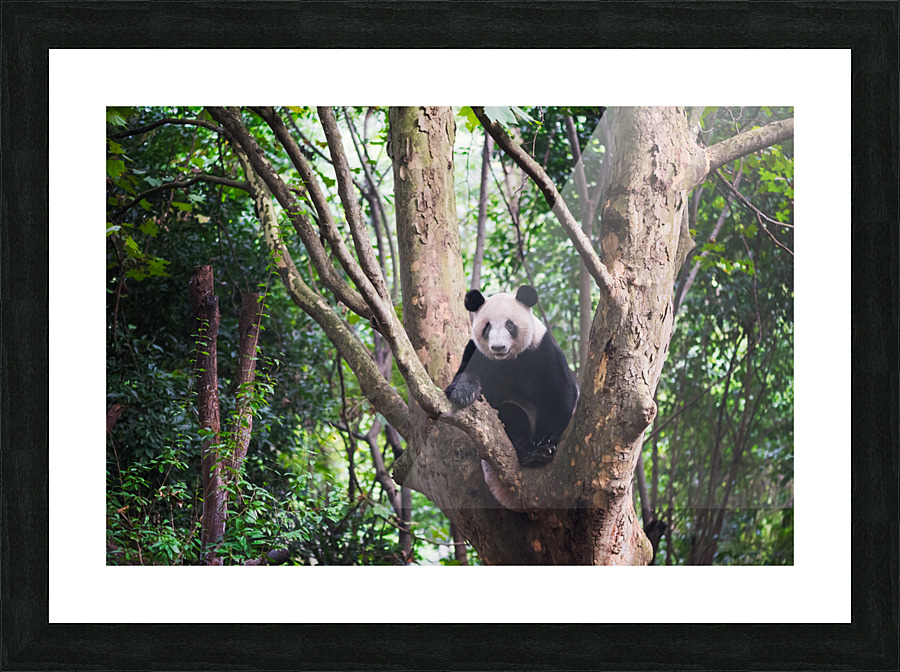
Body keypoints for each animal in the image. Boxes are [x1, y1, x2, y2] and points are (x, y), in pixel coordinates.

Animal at [445, 285, 579, 480]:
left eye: (509, 325)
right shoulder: (478, 353)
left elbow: (557, 391)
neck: (508, 359)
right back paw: (532, 455)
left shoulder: (542, 349)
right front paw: (462, 393)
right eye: (487, 326)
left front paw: (545, 438)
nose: (498, 347)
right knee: (510, 415)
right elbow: (467, 374)